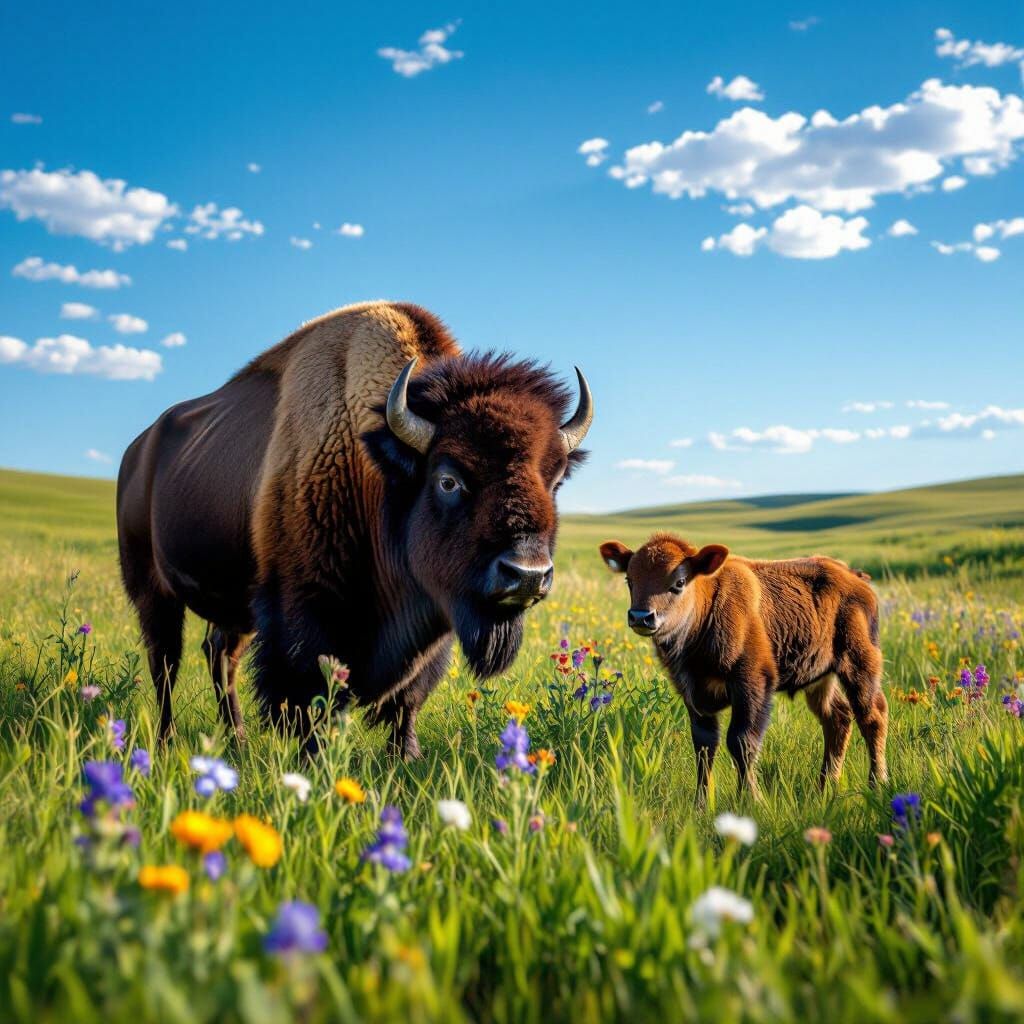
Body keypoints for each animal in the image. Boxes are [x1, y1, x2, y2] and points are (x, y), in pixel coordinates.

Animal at [117, 301, 593, 756]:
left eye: (555, 480)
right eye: (448, 479)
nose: (527, 575)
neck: (376, 471)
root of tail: (136, 450)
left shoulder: (431, 623)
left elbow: (407, 702)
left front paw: (406, 757)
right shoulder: (303, 619)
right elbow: (310, 702)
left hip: (233, 606)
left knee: (220, 655)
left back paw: (237, 741)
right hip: (153, 590)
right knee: (165, 664)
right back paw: (166, 742)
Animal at [599, 533, 888, 802]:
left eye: (679, 582)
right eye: (629, 580)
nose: (641, 617)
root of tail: (855, 576)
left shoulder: (753, 685)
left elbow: (741, 741)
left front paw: (751, 799)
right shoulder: (693, 694)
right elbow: (705, 747)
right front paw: (701, 804)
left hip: (859, 666)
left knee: (871, 716)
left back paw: (877, 784)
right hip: (820, 680)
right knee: (838, 718)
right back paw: (825, 788)